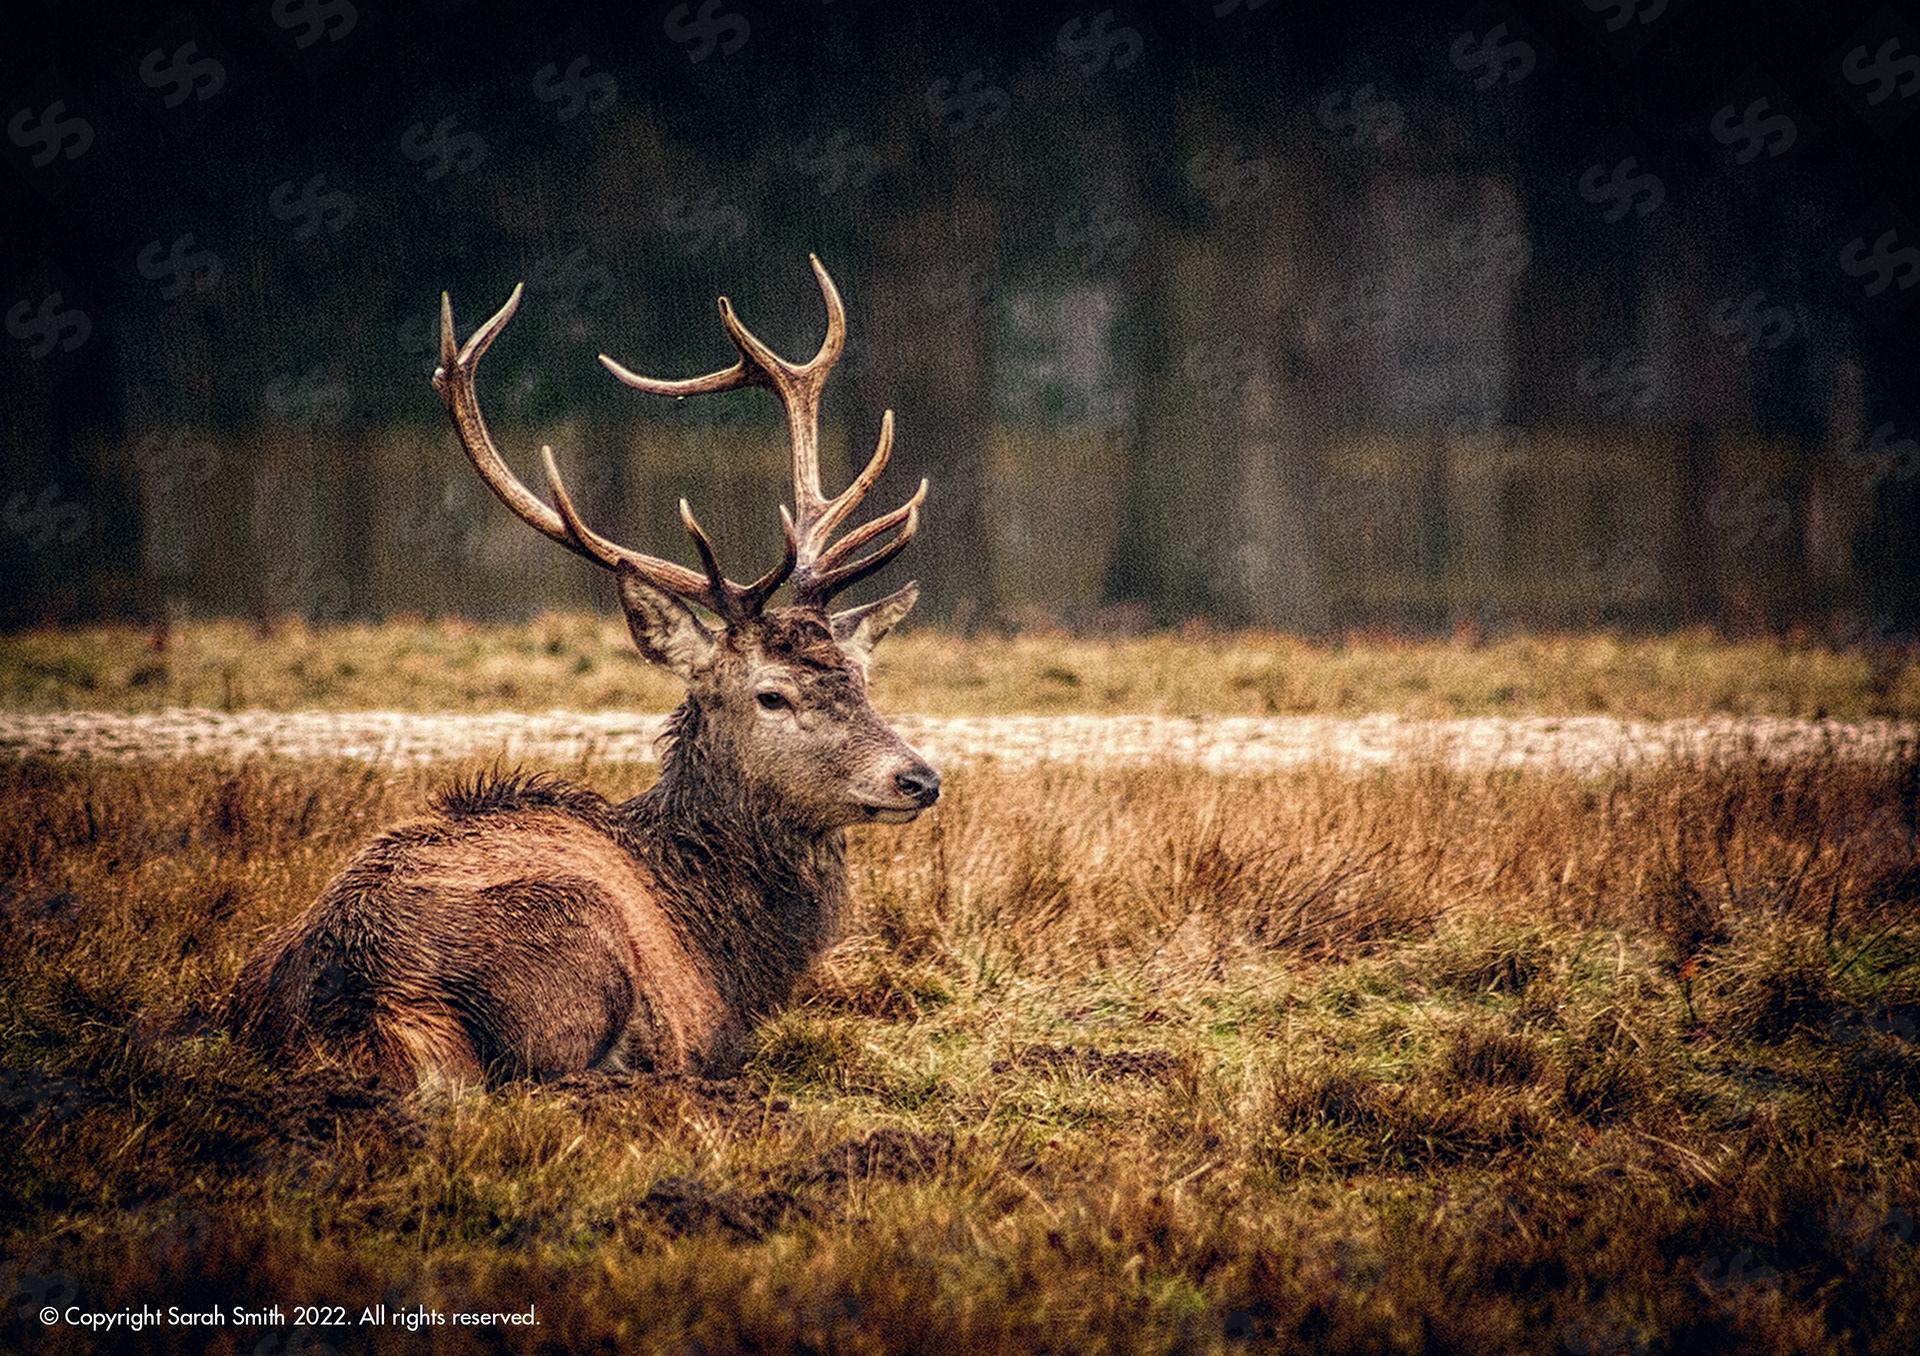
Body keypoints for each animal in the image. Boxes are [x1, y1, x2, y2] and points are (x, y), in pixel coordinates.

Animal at [226, 257, 939, 1090]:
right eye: (771, 695)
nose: (919, 778)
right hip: (574, 943)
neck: (724, 946)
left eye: (860, 681)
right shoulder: (710, 1021)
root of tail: (371, 993)